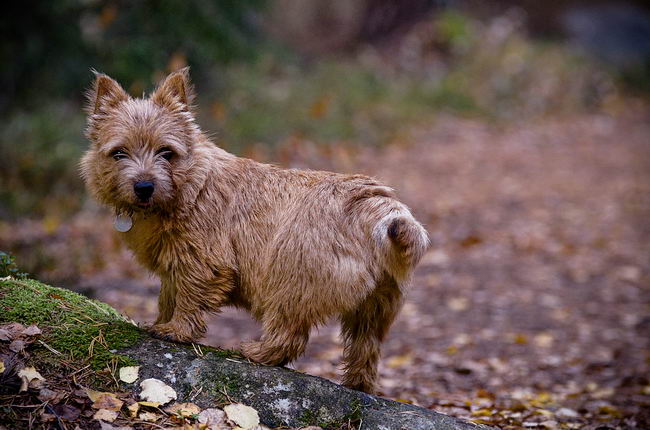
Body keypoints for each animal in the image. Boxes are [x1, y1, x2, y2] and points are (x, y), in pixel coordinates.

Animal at [78, 68, 428, 394]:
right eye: (119, 152)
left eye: (166, 152)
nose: (144, 186)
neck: (189, 185)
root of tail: (379, 207)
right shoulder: (175, 265)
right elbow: (168, 295)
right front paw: (161, 321)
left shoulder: (201, 261)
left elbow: (188, 297)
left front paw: (175, 330)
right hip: (377, 307)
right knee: (366, 349)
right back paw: (356, 384)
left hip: (288, 278)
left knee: (290, 335)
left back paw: (256, 352)